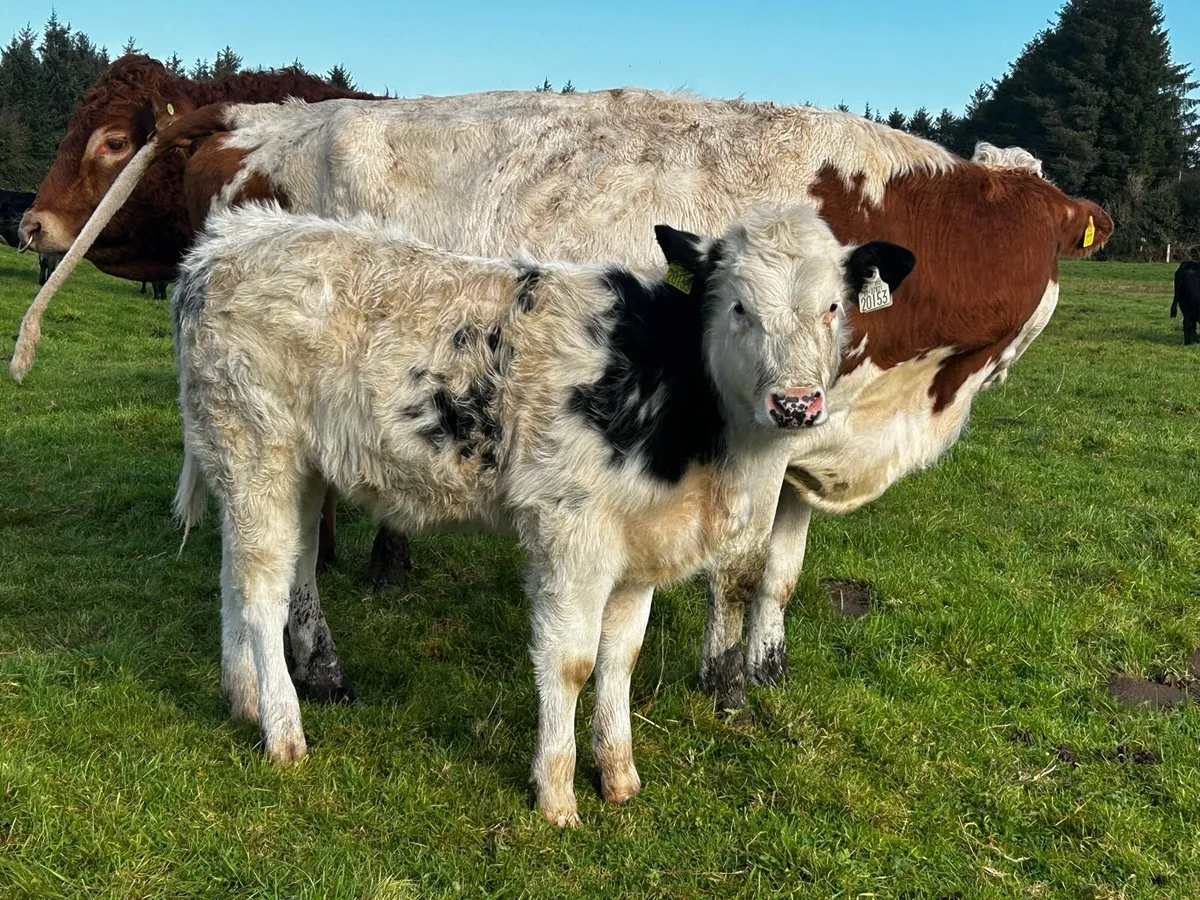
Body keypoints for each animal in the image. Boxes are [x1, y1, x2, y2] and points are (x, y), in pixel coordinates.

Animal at [12, 88, 1113, 713]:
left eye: (838, 303)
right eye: (739, 305)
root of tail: (277, 116)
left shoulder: (809, 436)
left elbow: (783, 573)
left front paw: (766, 669)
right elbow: (736, 570)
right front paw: (725, 686)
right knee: (288, 547)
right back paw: (314, 671)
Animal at [172, 200, 916, 825]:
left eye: (832, 307)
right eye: (738, 307)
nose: (796, 403)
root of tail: (223, 242)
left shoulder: (637, 549)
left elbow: (621, 660)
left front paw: (618, 775)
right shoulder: (573, 535)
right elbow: (572, 664)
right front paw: (556, 794)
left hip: (278, 469)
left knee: (236, 576)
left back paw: (241, 697)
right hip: (257, 451)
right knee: (263, 593)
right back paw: (283, 730)